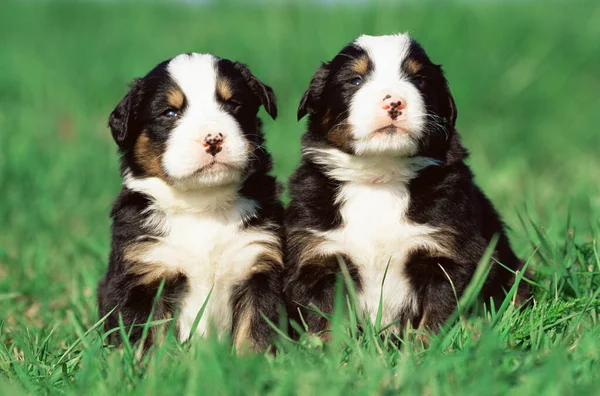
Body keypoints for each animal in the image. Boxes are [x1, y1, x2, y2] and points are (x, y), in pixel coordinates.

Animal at [97, 51, 284, 352]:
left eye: (233, 104)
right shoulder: (145, 275)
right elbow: (145, 340)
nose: (213, 138)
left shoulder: (259, 266)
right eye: (170, 113)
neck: (202, 205)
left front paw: (253, 362)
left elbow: (255, 333)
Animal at [284, 33, 528, 338]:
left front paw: (429, 347)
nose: (394, 102)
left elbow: (437, 317)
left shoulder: (449, 253)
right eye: (355, 80)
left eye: (419, 79)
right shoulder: (319, 258)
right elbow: (325, 323)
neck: (380, 178)